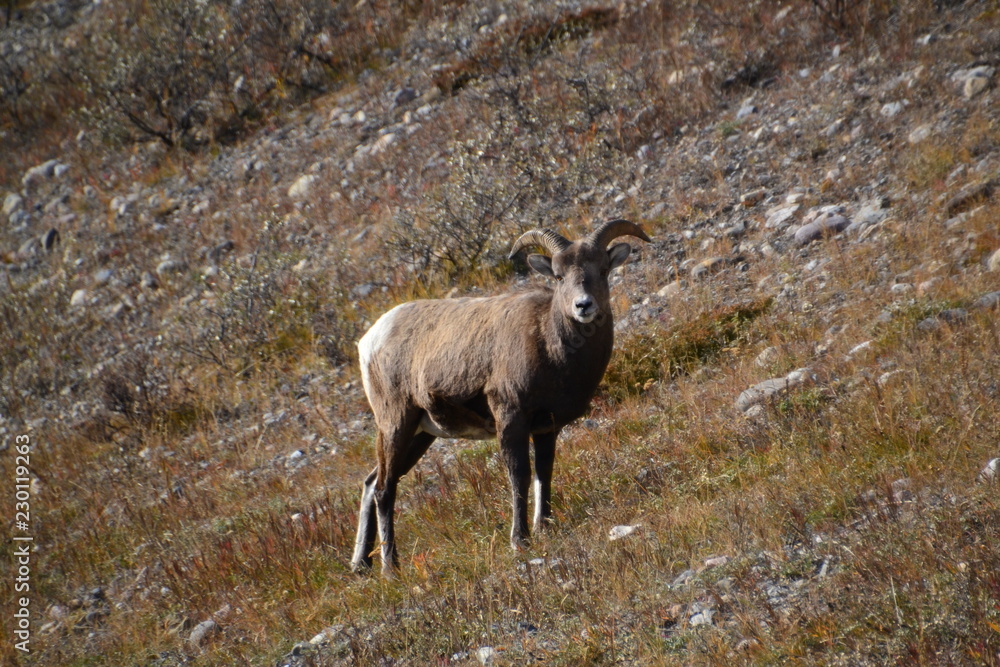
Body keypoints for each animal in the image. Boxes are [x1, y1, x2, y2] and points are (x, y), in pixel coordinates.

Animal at [351, 219, 651, 575]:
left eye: (603, 270)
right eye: (559, 276)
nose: (583, 306)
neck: (551, 345)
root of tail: (369, 341)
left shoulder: (547, 428)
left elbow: (544, 472)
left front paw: (544, 527)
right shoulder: (510, 418)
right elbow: (519, 475)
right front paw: (520, 540)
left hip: (421, 434)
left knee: (373, 483)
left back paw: (361, 565)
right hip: (396, 423)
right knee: (384, 488)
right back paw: (389, 567)